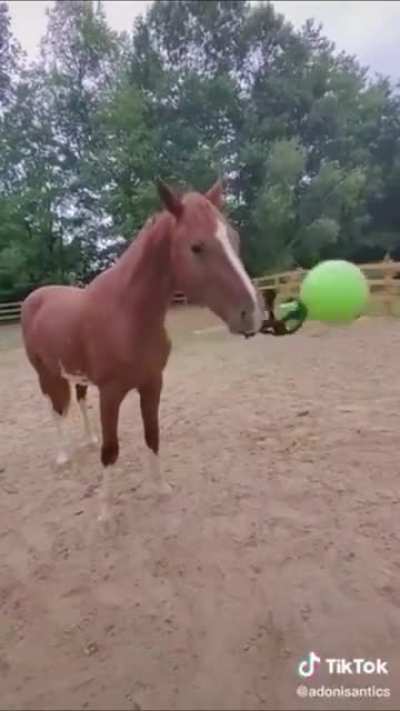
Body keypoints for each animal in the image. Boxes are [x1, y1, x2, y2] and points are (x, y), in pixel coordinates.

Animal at [21, 179, 264, 521]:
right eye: (196, 247)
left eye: (234, 238)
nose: (253, 313)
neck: (127, 315)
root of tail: (35, 297)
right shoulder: (111, 394)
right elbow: (110, 450)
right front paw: (105, 513)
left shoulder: (152, 384)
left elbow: (152, 434)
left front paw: (160, 488)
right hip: (46, 374)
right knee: (56, 410)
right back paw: (63, 455)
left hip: (77, 375)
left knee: (79, 402)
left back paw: (87, 438)